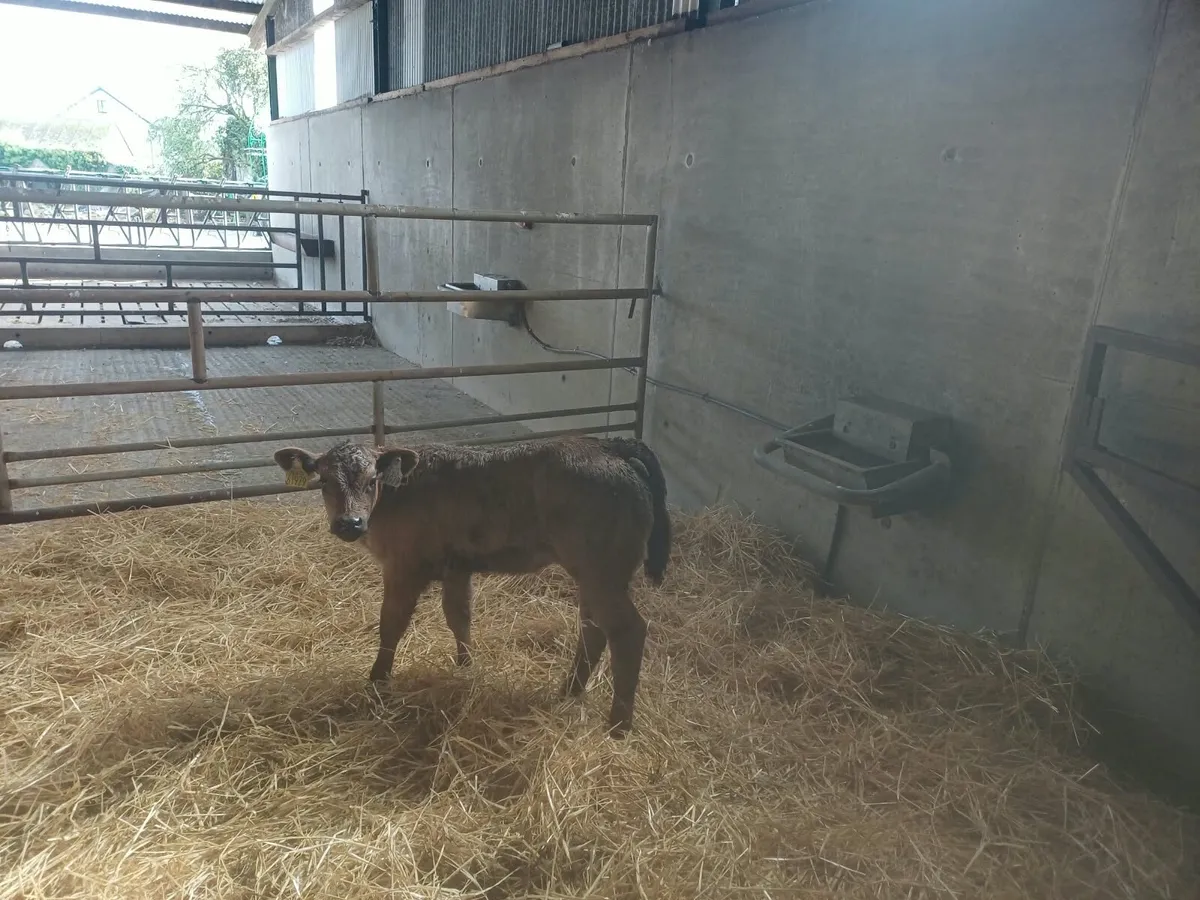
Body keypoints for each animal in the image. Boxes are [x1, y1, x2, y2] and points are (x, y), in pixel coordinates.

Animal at [273, 435, 671, 737]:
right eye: (324, 481)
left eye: (372, 481)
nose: (349, 523)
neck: (397, 494)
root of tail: (607, 446)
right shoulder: (457, 568)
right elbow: (459, 617)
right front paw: (465, 669)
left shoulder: (403, 568)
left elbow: (391, 626)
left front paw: (377, 681)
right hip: (594, 575)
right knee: (593, 629)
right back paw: (569, 692)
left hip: (601, 572)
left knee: (627, 631)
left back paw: (618, 726)